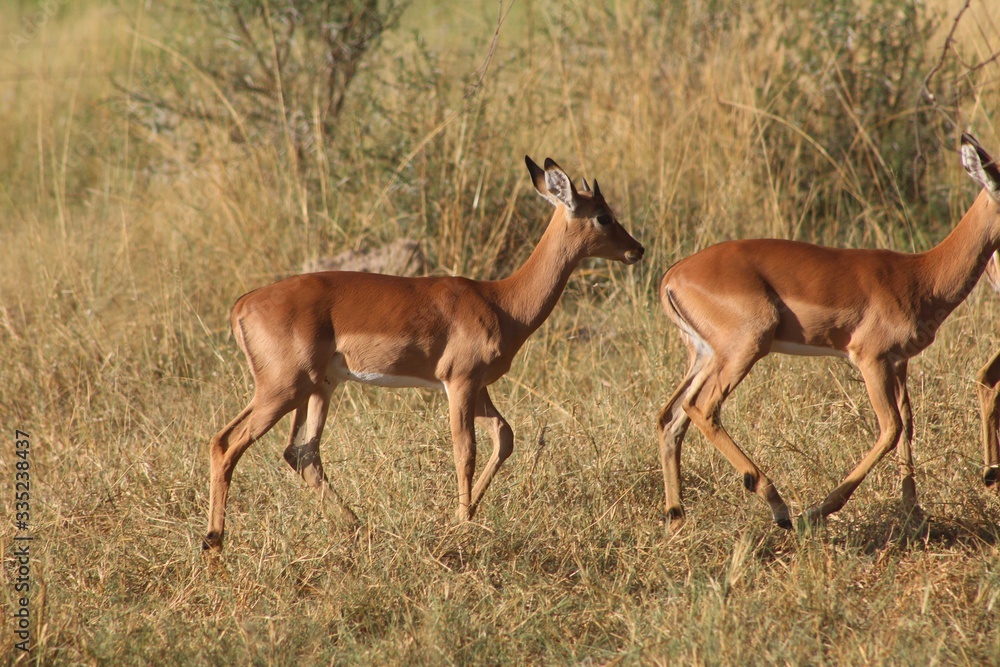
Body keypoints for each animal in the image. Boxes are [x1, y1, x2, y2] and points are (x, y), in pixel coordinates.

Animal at [203, 157, 644, 551]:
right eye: (603, 215)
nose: (636, 249)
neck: (501, 302)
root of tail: (242, 304)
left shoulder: (477, 388)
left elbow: (504, 436)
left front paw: (466, 515)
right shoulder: (460, 383)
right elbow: (465, 450)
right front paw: (463, 522)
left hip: (316, 389)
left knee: (301, 454)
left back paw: (362, 528)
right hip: (284, 389)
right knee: (227, 443)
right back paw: (214, 543)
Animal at [655, 133, 1000, 533]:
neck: (921, 275)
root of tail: (672, 275)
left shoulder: (899, 363)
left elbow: (907, 427)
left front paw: (913, 512)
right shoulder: (870, 359)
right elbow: (890, 428)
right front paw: (818, 511)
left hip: (707, 356)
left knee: (671, 416)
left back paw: (676, 516)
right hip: (746, 348)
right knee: (702, 408)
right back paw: (779, 507)